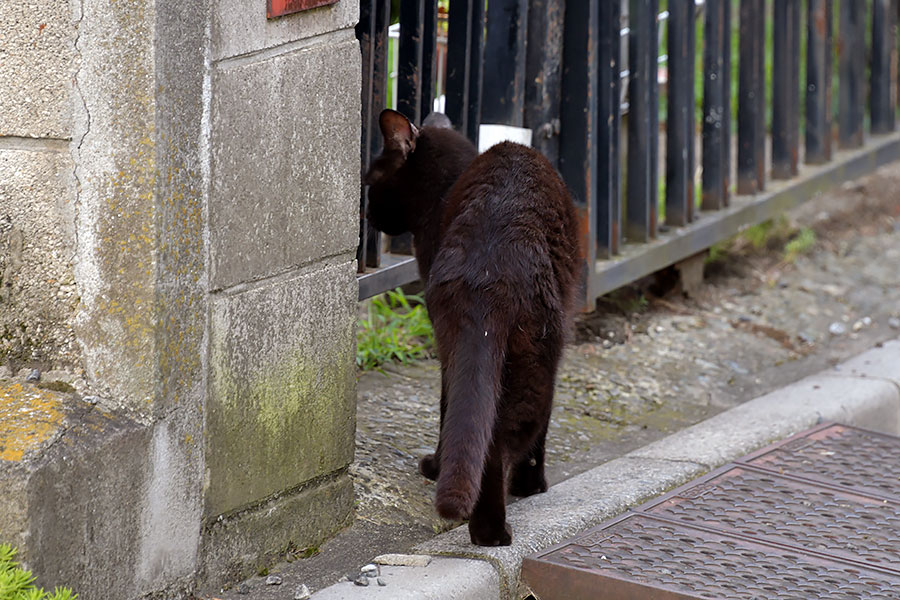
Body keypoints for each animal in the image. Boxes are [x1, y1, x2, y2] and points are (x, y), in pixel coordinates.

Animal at [368, 110, 584, 548]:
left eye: (370, 181)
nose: (365, 212)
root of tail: (488, 267)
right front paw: (532, 487)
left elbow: (449, 410)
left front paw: (435, 467)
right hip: (535, 358)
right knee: (502, 440)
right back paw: (494, 528)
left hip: (466, 345)